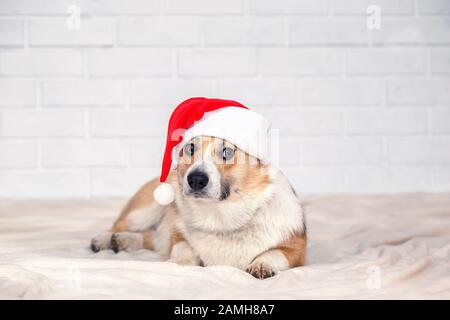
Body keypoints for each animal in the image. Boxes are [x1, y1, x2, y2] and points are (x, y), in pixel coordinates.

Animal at [91, 136, 306, 280]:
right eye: (190, 148)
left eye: (227, 152)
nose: (195, 179)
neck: (222, 218)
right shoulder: (177, 235)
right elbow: (183, 249)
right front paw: (179, 263)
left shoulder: (296, 249)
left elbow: (274, 252)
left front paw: (261, 264)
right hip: (147, 208)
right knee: (123, 225)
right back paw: (106, 239)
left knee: (151, 237)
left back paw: (123, 241)